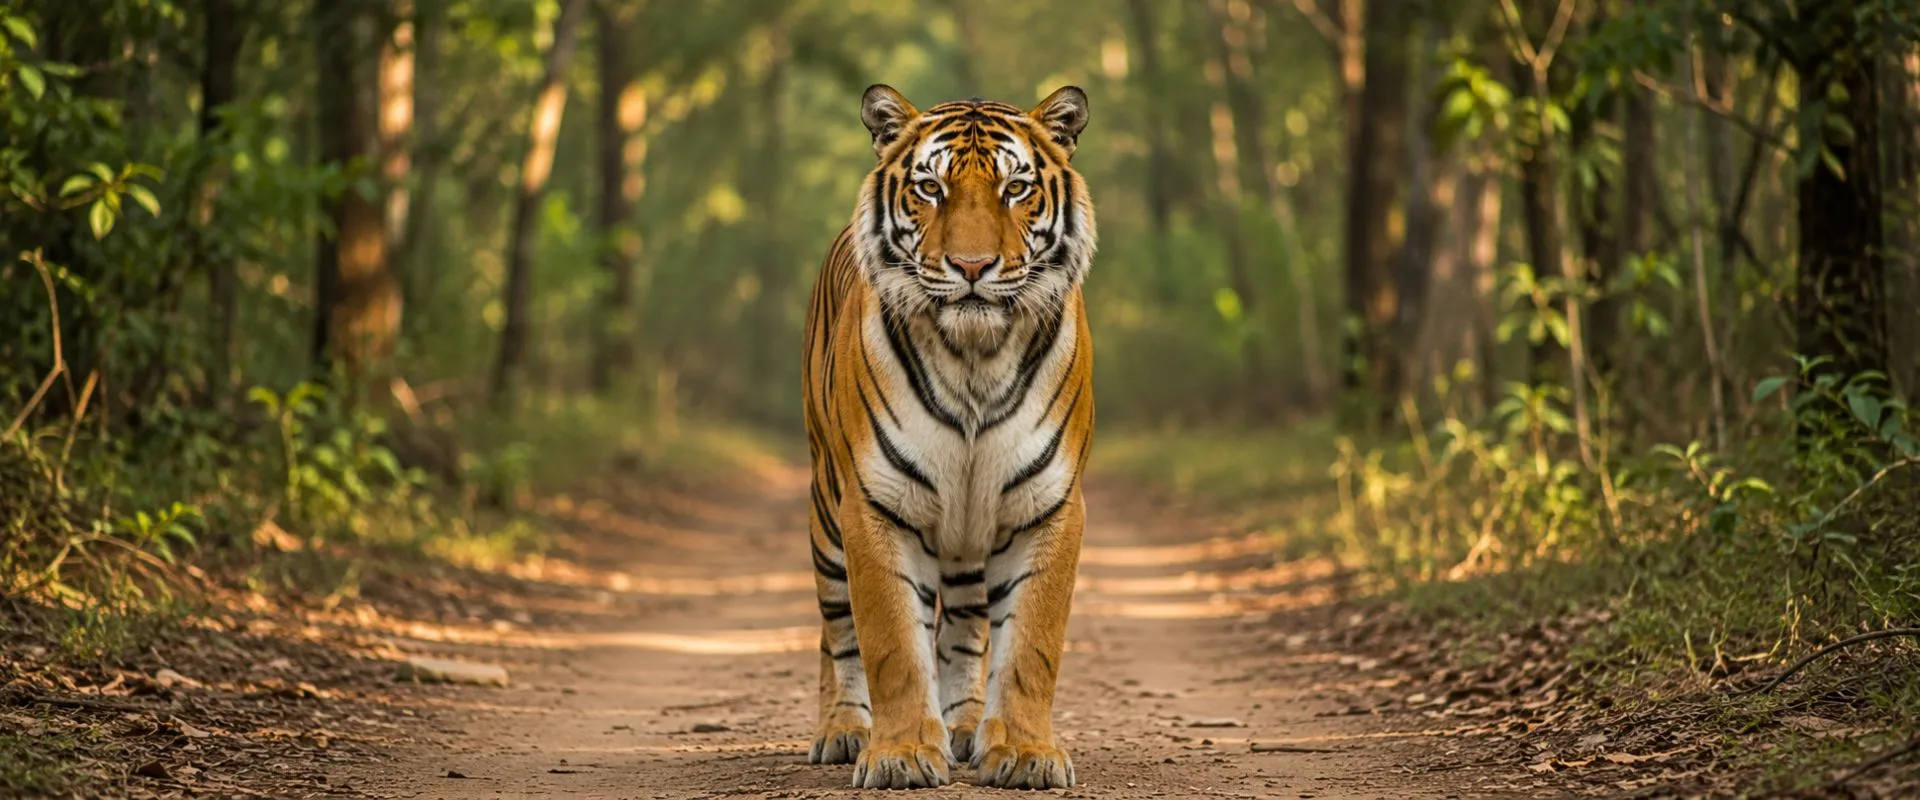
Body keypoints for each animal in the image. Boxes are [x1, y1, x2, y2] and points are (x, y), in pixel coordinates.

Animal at [800, 84, 1096, 790]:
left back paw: (963, 727)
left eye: (1016, 188)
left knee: (963, 629)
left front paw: (1025, 753)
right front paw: (902, 755)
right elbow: (890, 645)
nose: (971, 266)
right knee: (837, 632)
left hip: (967, 531)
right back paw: (843, 731)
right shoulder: (874, 504)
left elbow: (1032, 643)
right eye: (930, 189)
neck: (974, 360)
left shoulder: (1048, 504)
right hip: (826, 510)